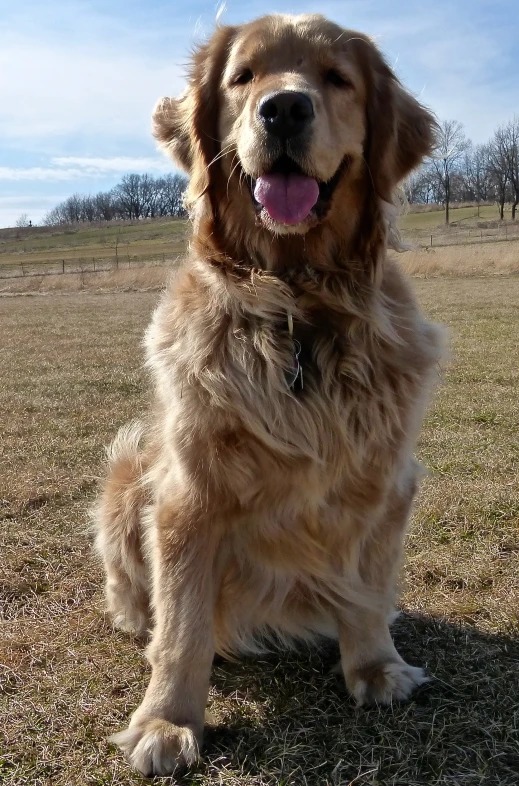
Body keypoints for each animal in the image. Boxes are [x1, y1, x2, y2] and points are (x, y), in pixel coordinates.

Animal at [93, 10, 442, 772]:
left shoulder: (385, 480)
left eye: (336, 79)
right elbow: (184, 628)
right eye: (243, 77)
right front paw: (167, 721)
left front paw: (375, 667)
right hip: (129, 471)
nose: (283, 108)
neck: (296, 303)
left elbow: (368, 587)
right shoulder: (189, 494)